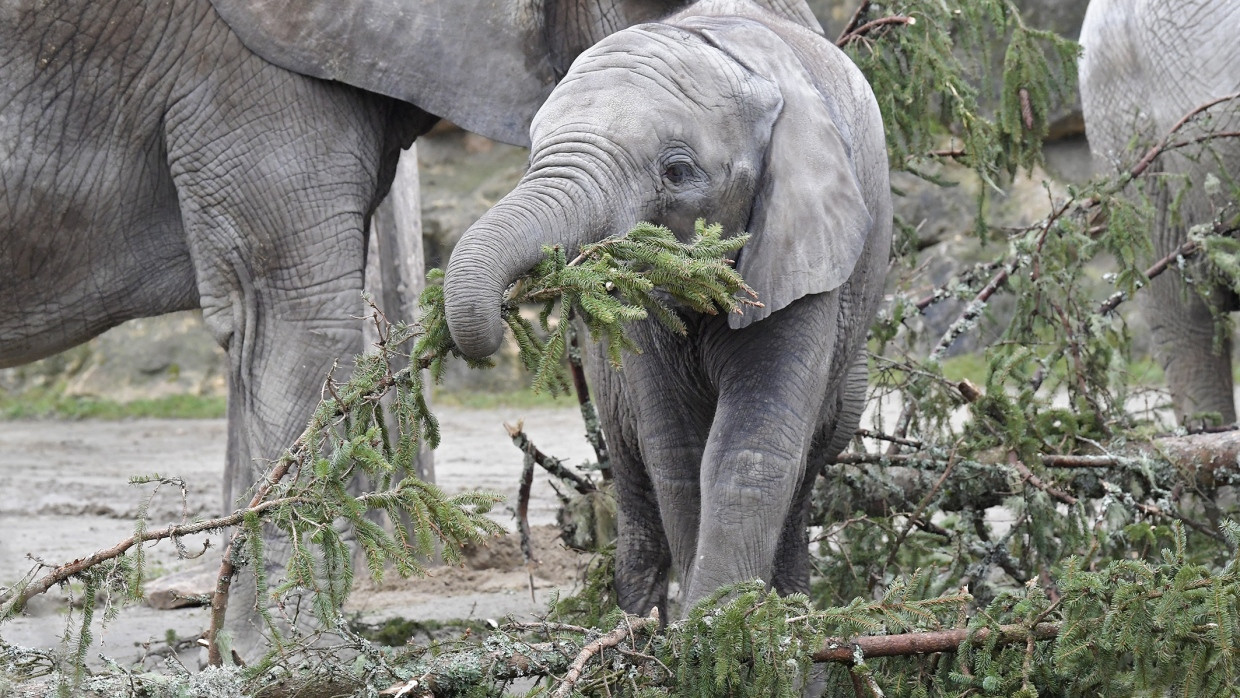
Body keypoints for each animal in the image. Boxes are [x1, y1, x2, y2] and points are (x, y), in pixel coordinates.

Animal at [441, 0, 887, 614]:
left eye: (677, 172)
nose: (498, 319)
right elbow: (678, 454)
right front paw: (700, 627)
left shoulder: (806, 253)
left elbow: (749, 449)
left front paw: (722, 626)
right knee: (633, 470)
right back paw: (637, 622)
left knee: (804, 474)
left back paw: (792, 614)